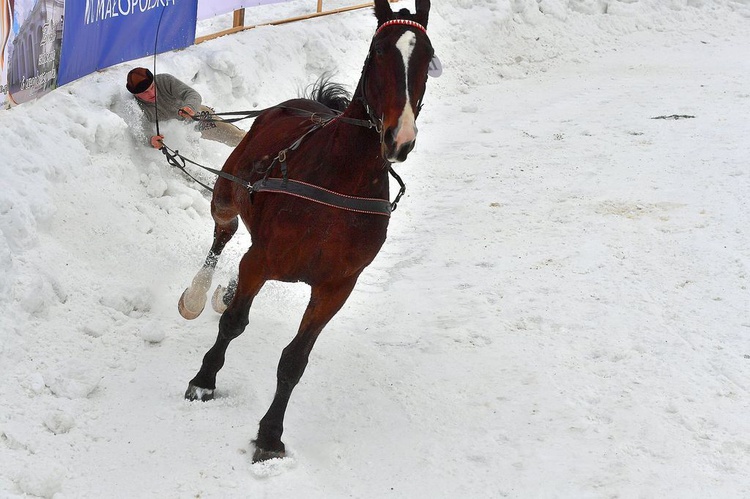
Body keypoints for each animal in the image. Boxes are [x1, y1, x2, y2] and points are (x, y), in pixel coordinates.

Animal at [178, 0, 434, 462]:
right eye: (379, 52)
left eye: (427, 56)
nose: (399, 137)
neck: (340, 182)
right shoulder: (262, 261)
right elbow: (234, 323)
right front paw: (204, 380)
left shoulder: (337, 286)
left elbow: (295, 359)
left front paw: (269, 435)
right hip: (226, 195)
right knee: (223, 235)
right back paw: (199, 291)